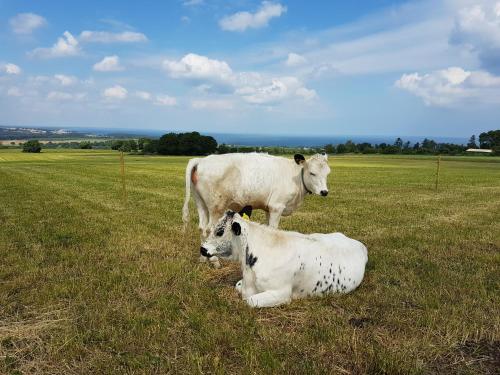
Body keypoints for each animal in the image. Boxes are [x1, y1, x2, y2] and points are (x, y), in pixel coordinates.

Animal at [182, 153, 330, 235]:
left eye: (328, 173)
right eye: (312, 173)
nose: (324, 192)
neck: (296, 176)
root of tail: (201, 160)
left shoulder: (269, 208)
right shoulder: (277, 207)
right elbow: (274, 229)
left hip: (201, 203)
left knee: (201, 228)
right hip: (216, 207)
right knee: (209, 229)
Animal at [199, 212, 368, 308]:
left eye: (219, 231)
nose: (202, 249)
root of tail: (359, 244)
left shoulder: (281, 293)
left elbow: (249, 301)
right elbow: (237, 286)